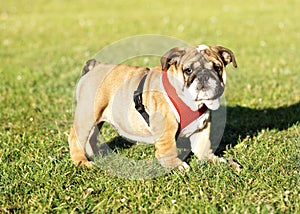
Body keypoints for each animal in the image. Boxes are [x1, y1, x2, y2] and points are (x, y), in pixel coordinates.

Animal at [67, 44, 237, 171]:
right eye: (188, 70)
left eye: (217, 68)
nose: (204, 76)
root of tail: (96, 65)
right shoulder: (167, 127)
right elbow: (168, 148)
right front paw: (176, 165)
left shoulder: (202, 127)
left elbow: (203, 147)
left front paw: (215, 160)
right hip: (87, 116)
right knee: (75, 137)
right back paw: (81, 162)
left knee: (91, 137)